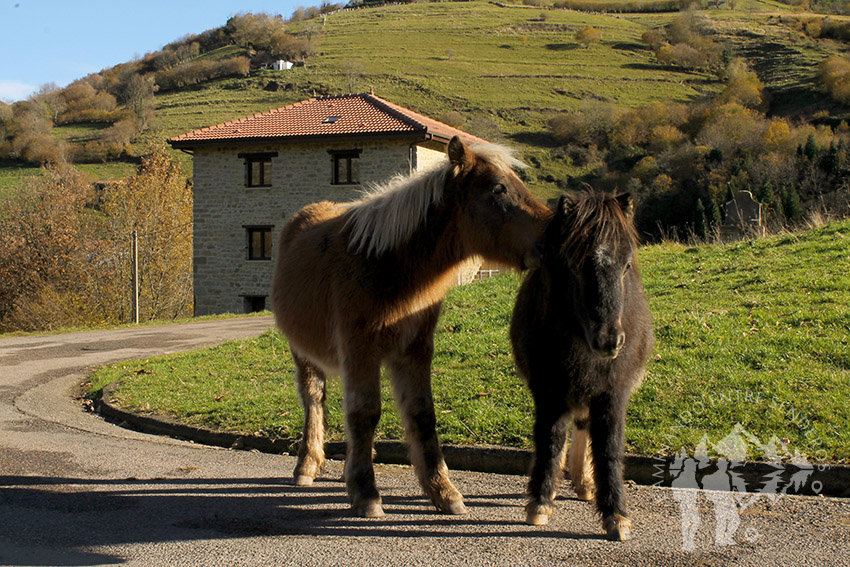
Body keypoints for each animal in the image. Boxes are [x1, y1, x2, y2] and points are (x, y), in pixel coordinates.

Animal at [274, 138, 548, 520]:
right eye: (497, 188)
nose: (553, 235)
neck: (388, 265)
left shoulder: (415, 351)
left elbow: (421, 414)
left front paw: (443, 491)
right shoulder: (360, 349)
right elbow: (365, 412)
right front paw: (366, 493)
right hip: (304, 355)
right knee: (314, 399)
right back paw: (307, 466)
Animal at [506, 191, 652, 540]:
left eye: (627, 265)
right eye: (574, 264)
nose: (610, 341)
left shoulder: (613, 393)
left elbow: (608, 447)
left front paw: (616, 515)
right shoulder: (549, 390)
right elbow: (550, 439)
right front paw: (540, 502)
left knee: (585, 427)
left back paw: (585, 484)